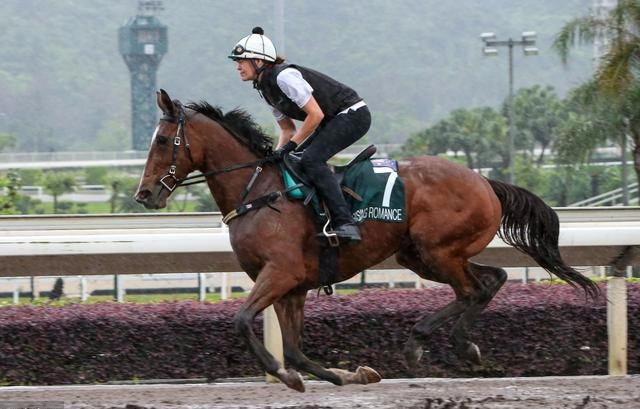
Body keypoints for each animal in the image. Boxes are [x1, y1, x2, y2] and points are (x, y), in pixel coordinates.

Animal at [136, 90, 600, 392]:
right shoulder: (291, 286)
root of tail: (485, 181)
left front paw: (285, 375)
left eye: (161, 140)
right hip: (423, 255)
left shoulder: (280, 273)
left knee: (472, 289)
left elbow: (242, 321)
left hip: (437, 249)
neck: (259, 192)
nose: (145, 194)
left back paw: (441, 344)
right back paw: (442, 342)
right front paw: (347, 374)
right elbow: (296, 349)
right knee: (492, 279)